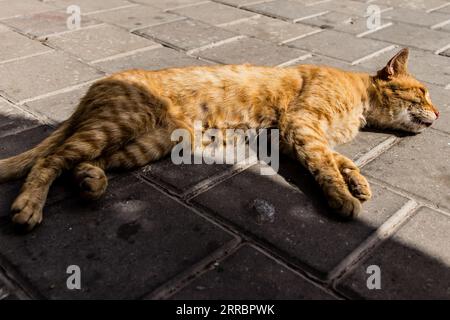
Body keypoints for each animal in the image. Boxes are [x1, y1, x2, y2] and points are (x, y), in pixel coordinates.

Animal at [0, 48, 438, 230]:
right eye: (422, 94)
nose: (437, 115)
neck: (360, 105)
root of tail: (94, 88)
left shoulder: (297, 135)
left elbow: (339, 159)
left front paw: (357, 181)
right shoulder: (300, 126)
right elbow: (325, 164)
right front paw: (342, 197)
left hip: (148, 142)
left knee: (87, 160)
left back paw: (90, 181)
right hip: (117, 123)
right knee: (51, 159)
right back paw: (28, 207)